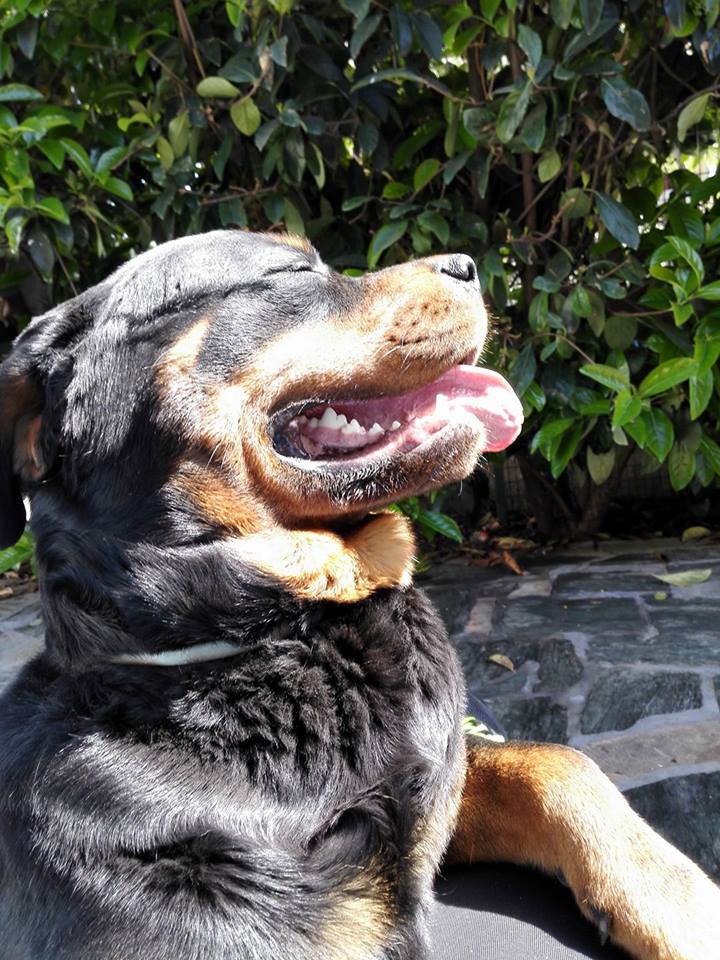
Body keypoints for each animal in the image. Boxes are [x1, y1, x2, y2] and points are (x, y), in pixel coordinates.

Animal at [0, 229, 716, 956]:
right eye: (287, 270)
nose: (468, 265)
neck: (286, 631)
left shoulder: (435, 787)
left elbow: (551, 759)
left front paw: (677, 897)